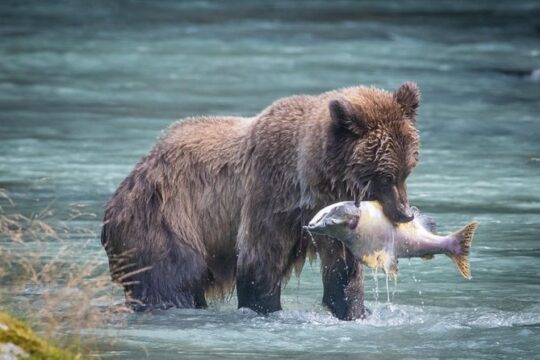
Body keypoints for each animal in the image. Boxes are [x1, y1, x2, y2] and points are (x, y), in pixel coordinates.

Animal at [101, 82, 422, 320]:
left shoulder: (334, 220)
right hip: (166, 221)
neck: (309, 181)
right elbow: (259, 261)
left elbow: (342, 271)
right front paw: (266, 309)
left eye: (406, 170)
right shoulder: (269, 195)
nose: (405, 213)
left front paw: (354, 310)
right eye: (384, 177)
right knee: (171, 280)